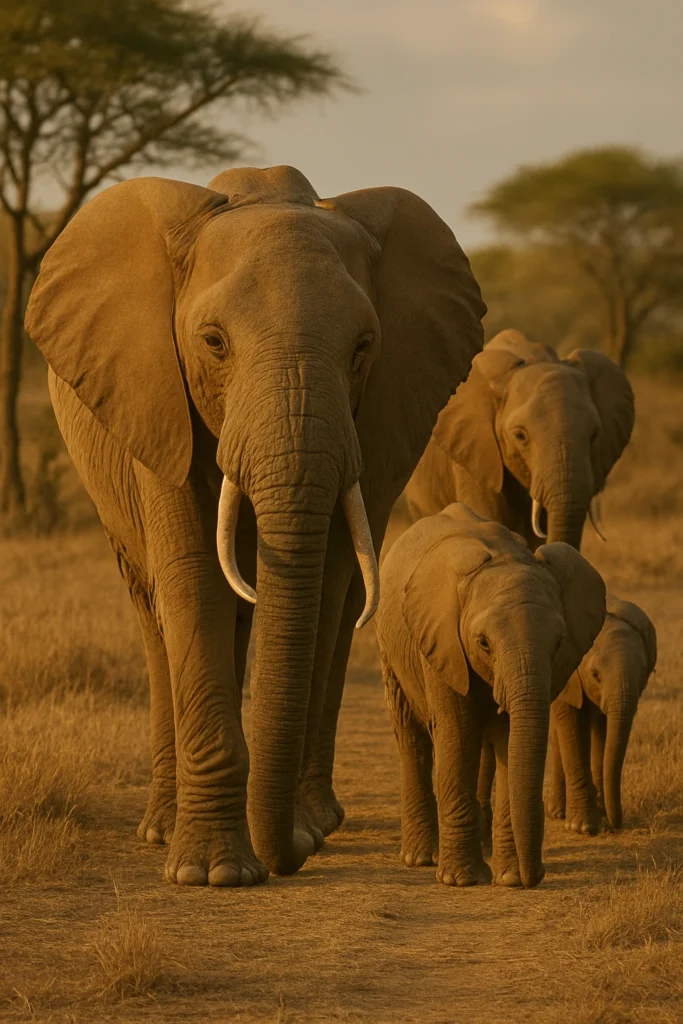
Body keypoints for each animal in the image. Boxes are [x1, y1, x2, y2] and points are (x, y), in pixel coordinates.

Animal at [25, 165, 485, 886]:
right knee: (155, 613)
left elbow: (323, 587)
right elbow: (192, 582)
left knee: (336, 608)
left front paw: (290, 837)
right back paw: (163, 828)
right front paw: (210, 874)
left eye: (363, 348)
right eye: (213, 343)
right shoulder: (157, 397)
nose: (290, 856)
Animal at [375, 503, 605, 889]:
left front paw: (509, 877)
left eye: (559, 643)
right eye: (483, 643)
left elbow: (510, 741)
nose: (533, 877)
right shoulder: (440, 643)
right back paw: (419, 858)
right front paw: (461, 880)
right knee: (411, 736)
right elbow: (457, 735)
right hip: (389, 645)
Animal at [548, 595, 657, 833]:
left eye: (643, 674)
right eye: (595, 675)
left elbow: (605, 730)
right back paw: (558, 813)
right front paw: (583, 827)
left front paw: (601, 816)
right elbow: (570, 726)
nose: (616, 825)